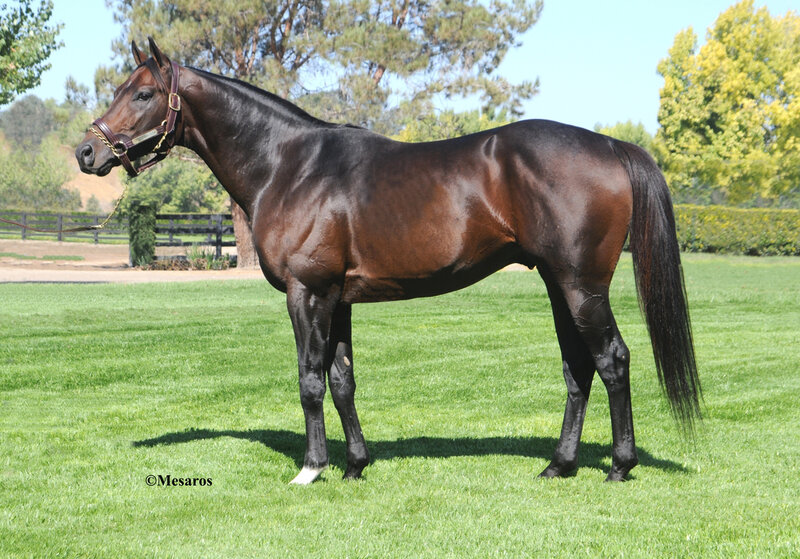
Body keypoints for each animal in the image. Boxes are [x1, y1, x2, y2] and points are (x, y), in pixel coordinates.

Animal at [76, 38, 700, 484]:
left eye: (143, 95)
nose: (87, 152)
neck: (290, 165)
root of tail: (612, 145)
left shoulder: (308, 292)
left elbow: (309, 380)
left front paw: (312, 468)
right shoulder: (338, 298)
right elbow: (342, 380)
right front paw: (355, 464)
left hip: (581, 286)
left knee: (612, 360)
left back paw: (619, 466)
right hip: (558, 284)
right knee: (578, 367)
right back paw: (559, 464)